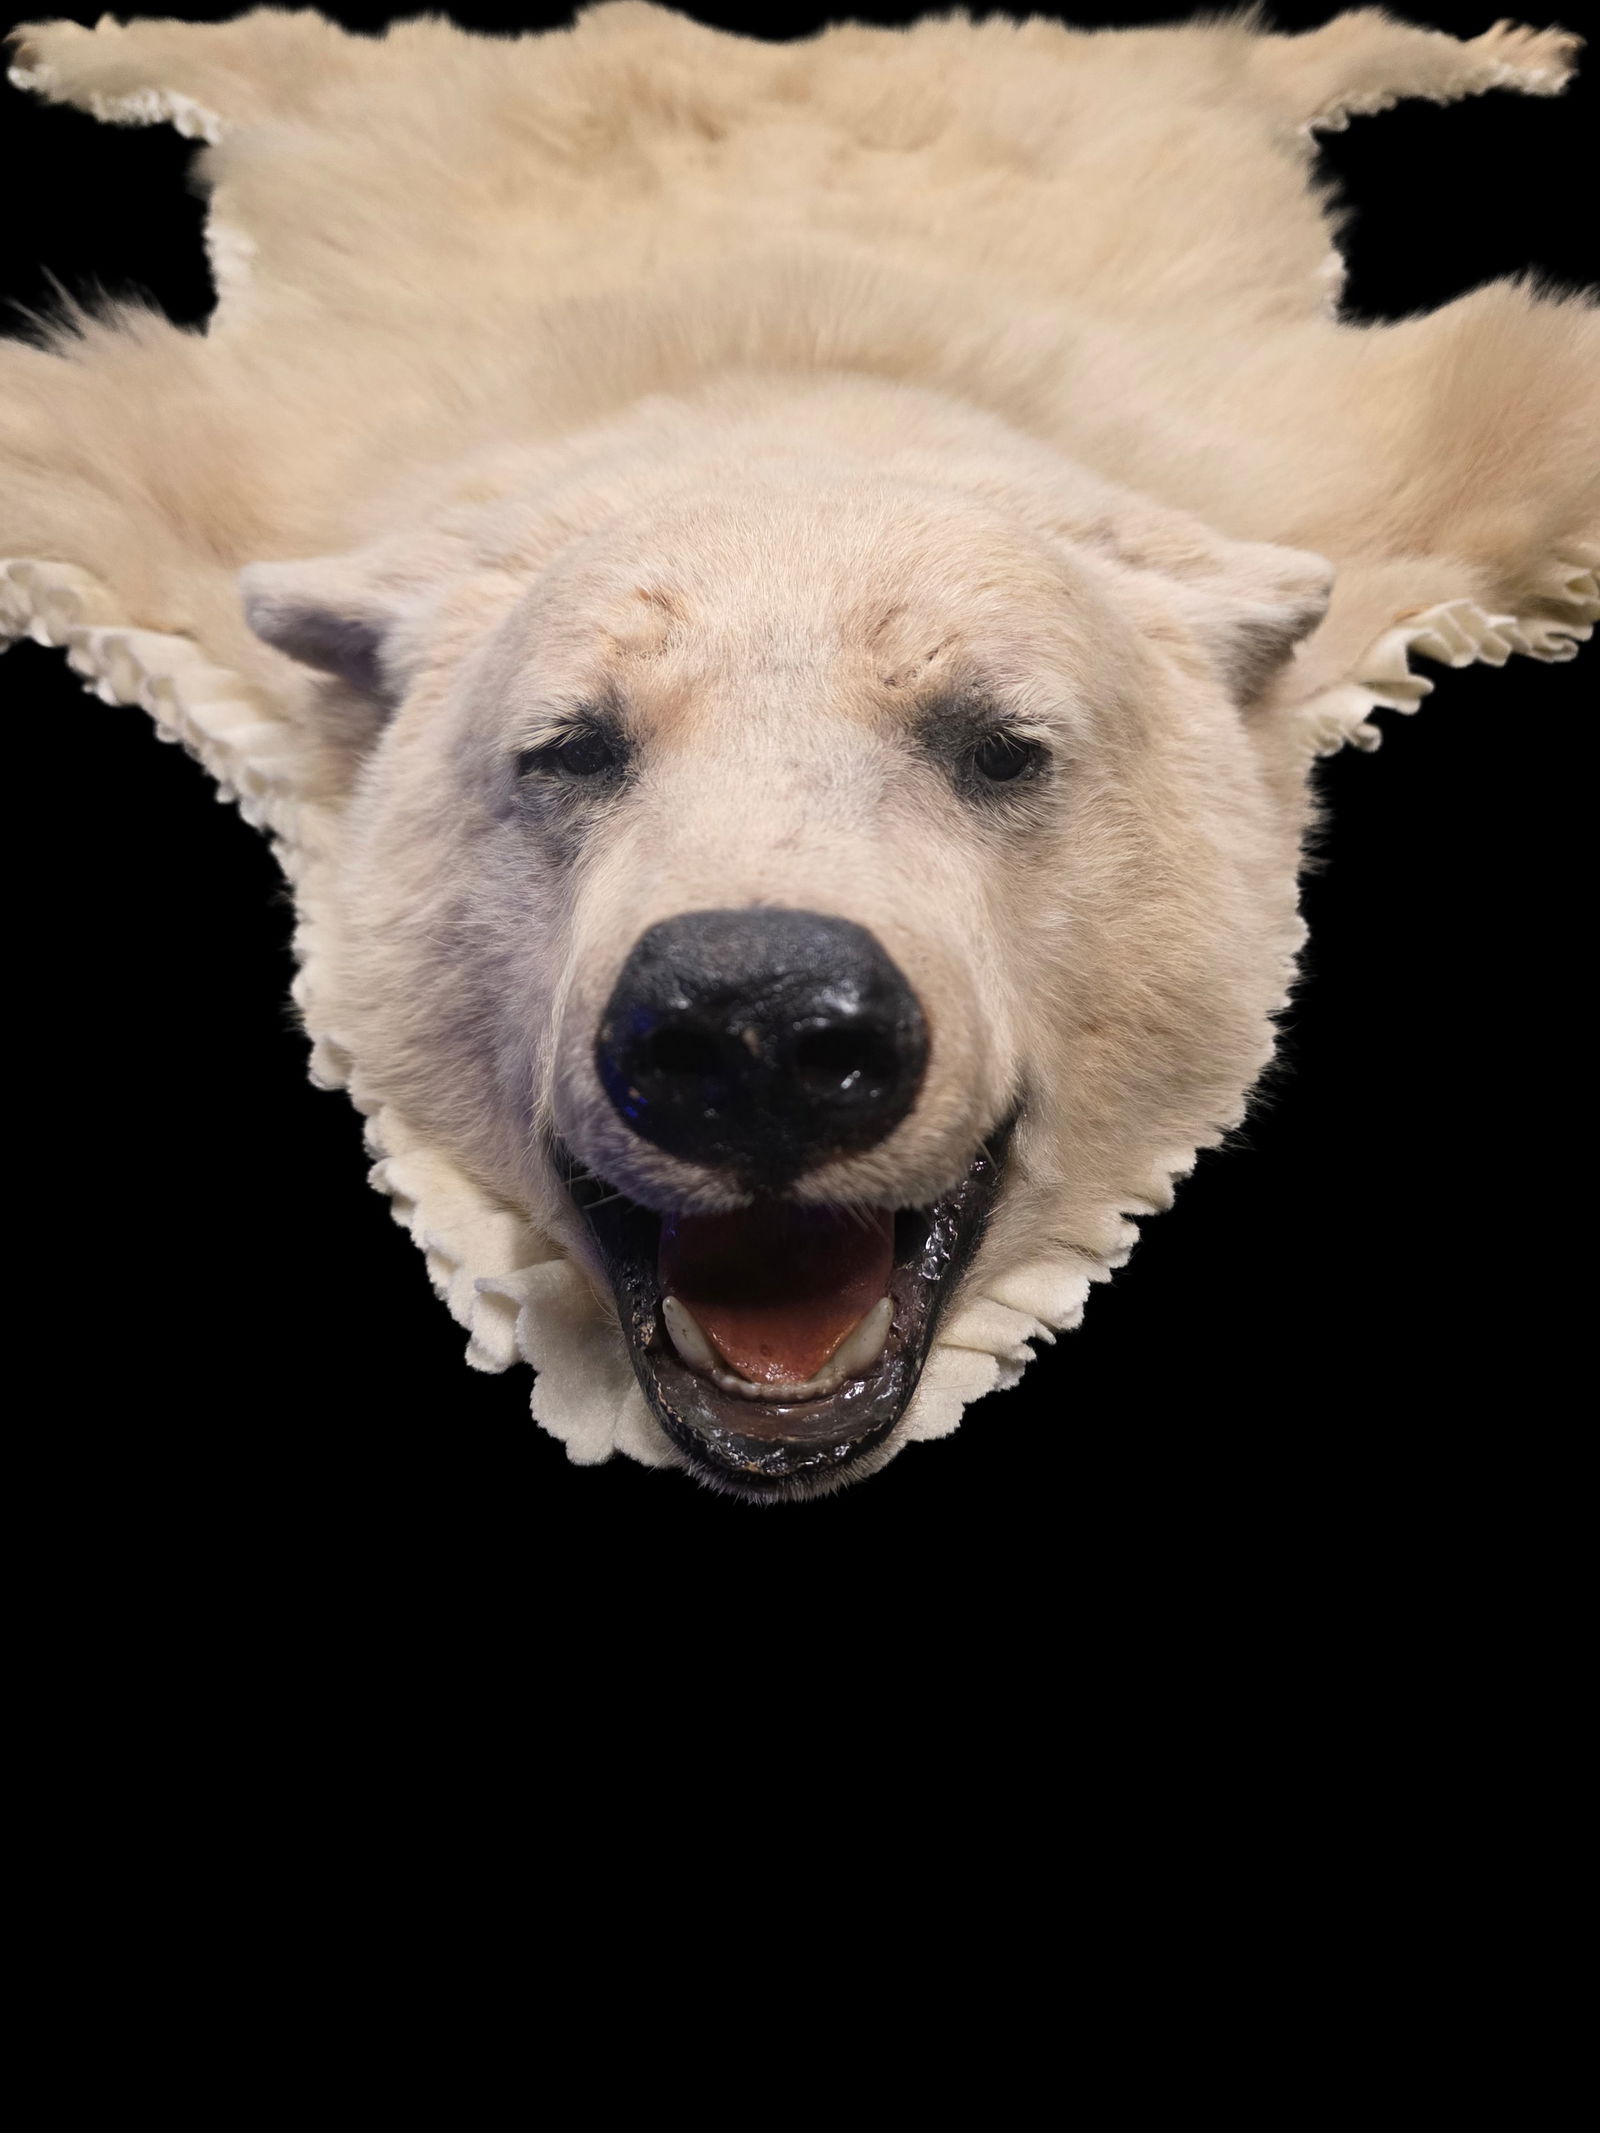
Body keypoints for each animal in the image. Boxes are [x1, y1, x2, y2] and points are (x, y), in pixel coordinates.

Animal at [2, 4, 1595, 1496]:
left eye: (999, 745)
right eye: (570, 747)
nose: (752, 1025)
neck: (795, 400)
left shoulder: (1292, 465)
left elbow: (1515, 393)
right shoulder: (290, 471)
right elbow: (83, 427)